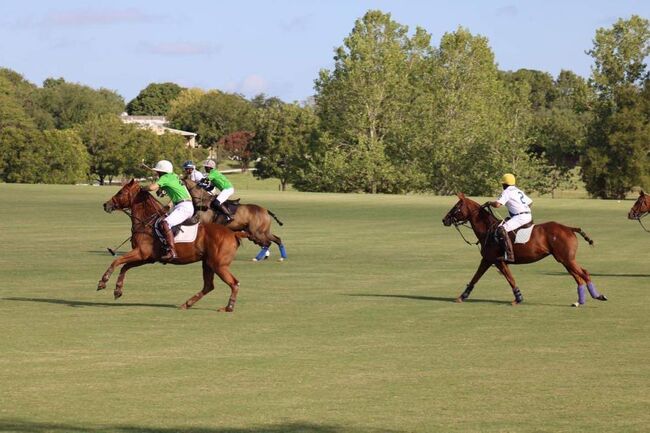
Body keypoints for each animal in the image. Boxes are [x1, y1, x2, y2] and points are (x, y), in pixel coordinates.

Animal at [98, 179, 246, 310]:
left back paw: (228, 307)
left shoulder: (141, 252)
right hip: (208, 263)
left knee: (234, 283)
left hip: (218, 265)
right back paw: (187, 304)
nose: (106, 205)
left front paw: (103, 281)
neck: (146, 222)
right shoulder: (147, 258)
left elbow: (117, 261)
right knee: (209, 286)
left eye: (121, 192)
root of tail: (233, 234)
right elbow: (125, 267)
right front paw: (117, 290)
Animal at [438, 192, 604, 308]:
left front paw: (462, 297)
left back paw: (598, 296)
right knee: (578, 277)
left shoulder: (491, 259)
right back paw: (579, 302)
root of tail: (569, 228)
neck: (488, 229)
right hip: (564, 260)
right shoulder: (494, 261)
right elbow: (503, 278)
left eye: (456, 207)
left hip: (566, 259)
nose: (444, 219)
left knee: (584, 273)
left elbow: (486, 277)